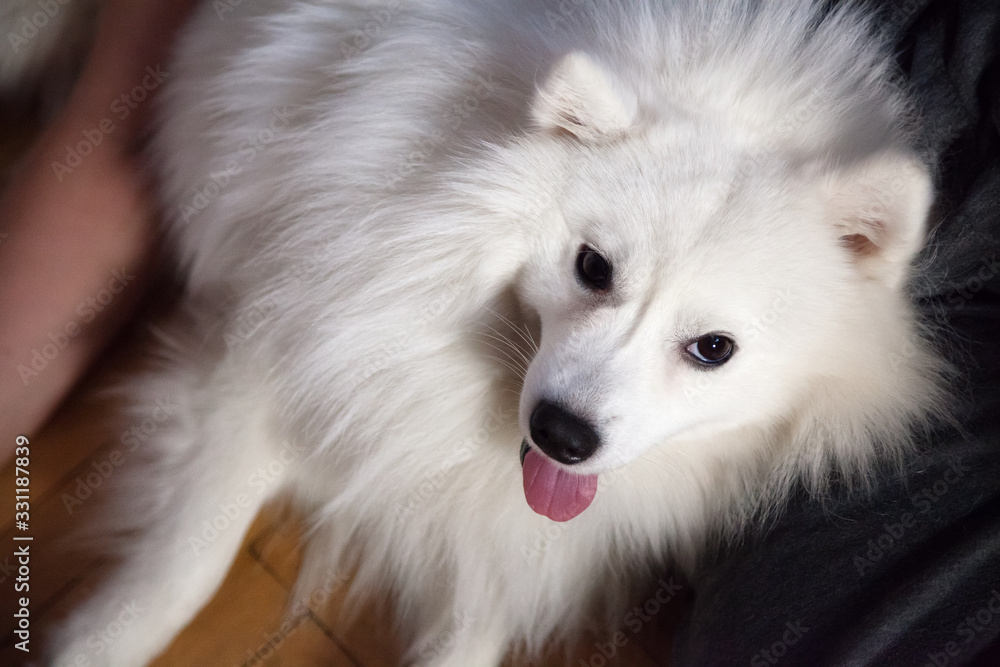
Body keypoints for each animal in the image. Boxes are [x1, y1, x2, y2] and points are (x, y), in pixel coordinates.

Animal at [47, 0, 948, 664]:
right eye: (593, 266)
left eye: (713, 349)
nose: (562, 434)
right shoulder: (265, 359)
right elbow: (186, 559)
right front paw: (97, 643)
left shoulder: (504, 533)